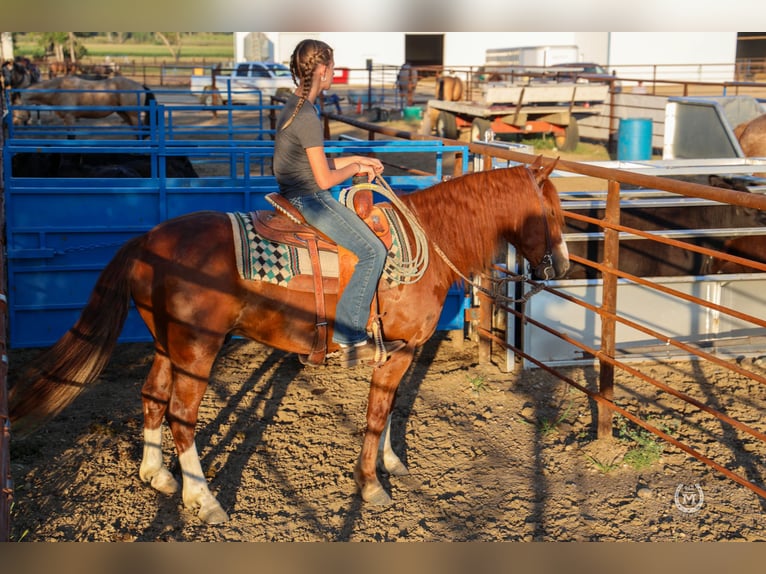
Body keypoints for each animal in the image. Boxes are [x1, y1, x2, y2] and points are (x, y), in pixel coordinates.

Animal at [7, 158, 568, 528]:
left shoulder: (396, 351)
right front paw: (371, 486)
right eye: (554, 213)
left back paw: (158, 476)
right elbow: (376, 413)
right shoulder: (401, 351)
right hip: (197, 348)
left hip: (168, 345)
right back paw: (204, 500)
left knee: (151, 397)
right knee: (182, 414)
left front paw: (391, 464)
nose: (562, 267)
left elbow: (387, 410)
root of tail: (147, 241)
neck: (429, 238)